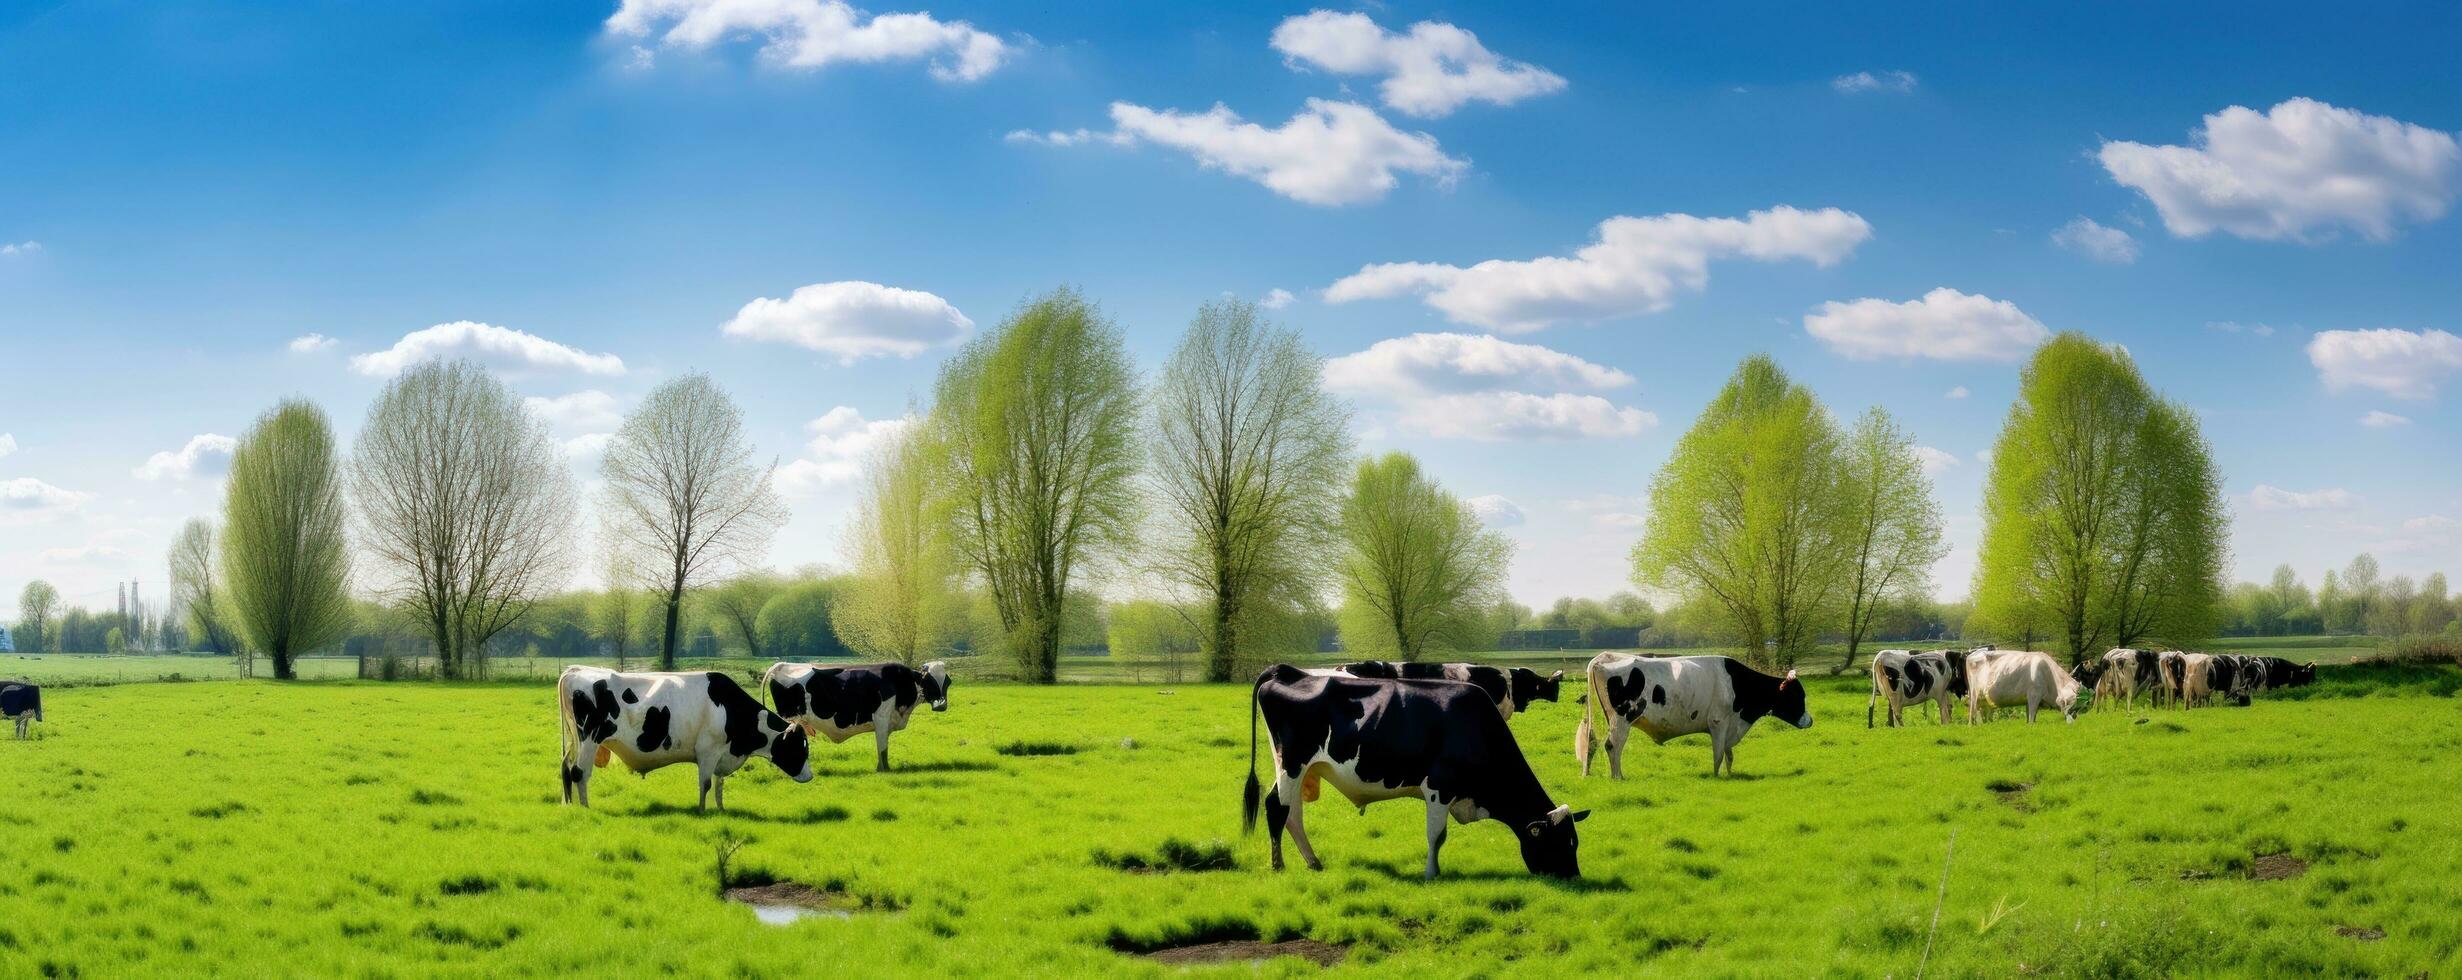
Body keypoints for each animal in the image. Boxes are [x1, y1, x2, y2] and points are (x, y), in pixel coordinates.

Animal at [553, 664, 812, 812]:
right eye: (800, 748)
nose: (810, 776)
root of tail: (575, 670)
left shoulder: (723, 753)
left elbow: (719, 784)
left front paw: (721, 810)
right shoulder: (708, 750)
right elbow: (706, 783)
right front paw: (702, 811)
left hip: (576, 740)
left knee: (567, 769)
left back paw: (572, 805)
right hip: (589, 738)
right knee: (579, 772)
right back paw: (586, 807)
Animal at [758, 659, 950, 773]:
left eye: (947, 682)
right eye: (929, 681)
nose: (941, 705)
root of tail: (781, 664)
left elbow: (882, 746)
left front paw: (880, 768)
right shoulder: (881, 717)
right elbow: (883, 748)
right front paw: (885, 770)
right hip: (787, 718)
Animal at [1575, 654, 1812, 778]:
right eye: (1797, 696)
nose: (1810, 720)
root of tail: (1603, 659)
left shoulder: (1729, 727)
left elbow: (1729, 754)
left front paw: (1729, 774)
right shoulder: (1719, 722)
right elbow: (1718, 754)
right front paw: (1717, 777)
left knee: (1591, 742)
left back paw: (1587, 773)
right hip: (1622, 719)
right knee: (1612, 745)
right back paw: (1618, 777)